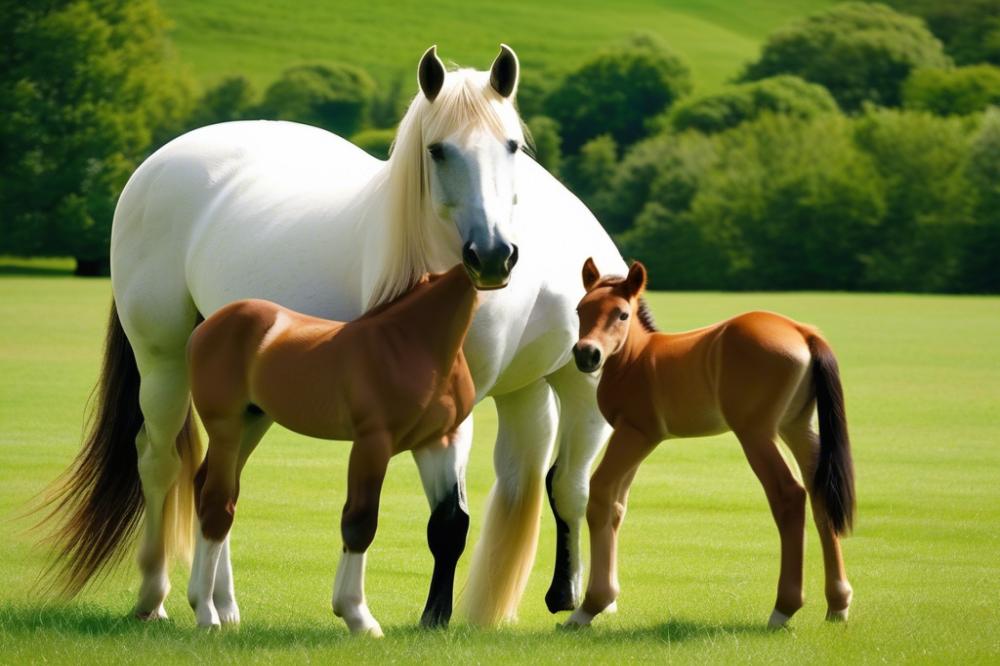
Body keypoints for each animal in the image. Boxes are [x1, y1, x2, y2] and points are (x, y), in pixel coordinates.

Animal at [186, 264, 477, 635]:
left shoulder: (437, 441)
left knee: (211, 490)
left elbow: (450, 520)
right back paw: (206, 613)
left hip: (252, 425)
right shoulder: (372, 442)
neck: (410, 341)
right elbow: (360, 520)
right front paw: (357, 615)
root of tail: (207, 326)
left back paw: (222, 606)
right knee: (217, 504)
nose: (497, 262)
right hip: (226, 429)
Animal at [563, 259, 856, 629]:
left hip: (755, 433)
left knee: (789, 494)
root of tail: (802, 331)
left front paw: (589, 607)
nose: (586, 354)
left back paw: (783, 609)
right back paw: (838, 604)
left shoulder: (636, 433)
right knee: (820, 494)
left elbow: (601, 495)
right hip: (797, 426)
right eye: (580, 309)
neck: (635, 358)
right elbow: (617, 505)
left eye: (621, 314)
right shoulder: (635, 440)